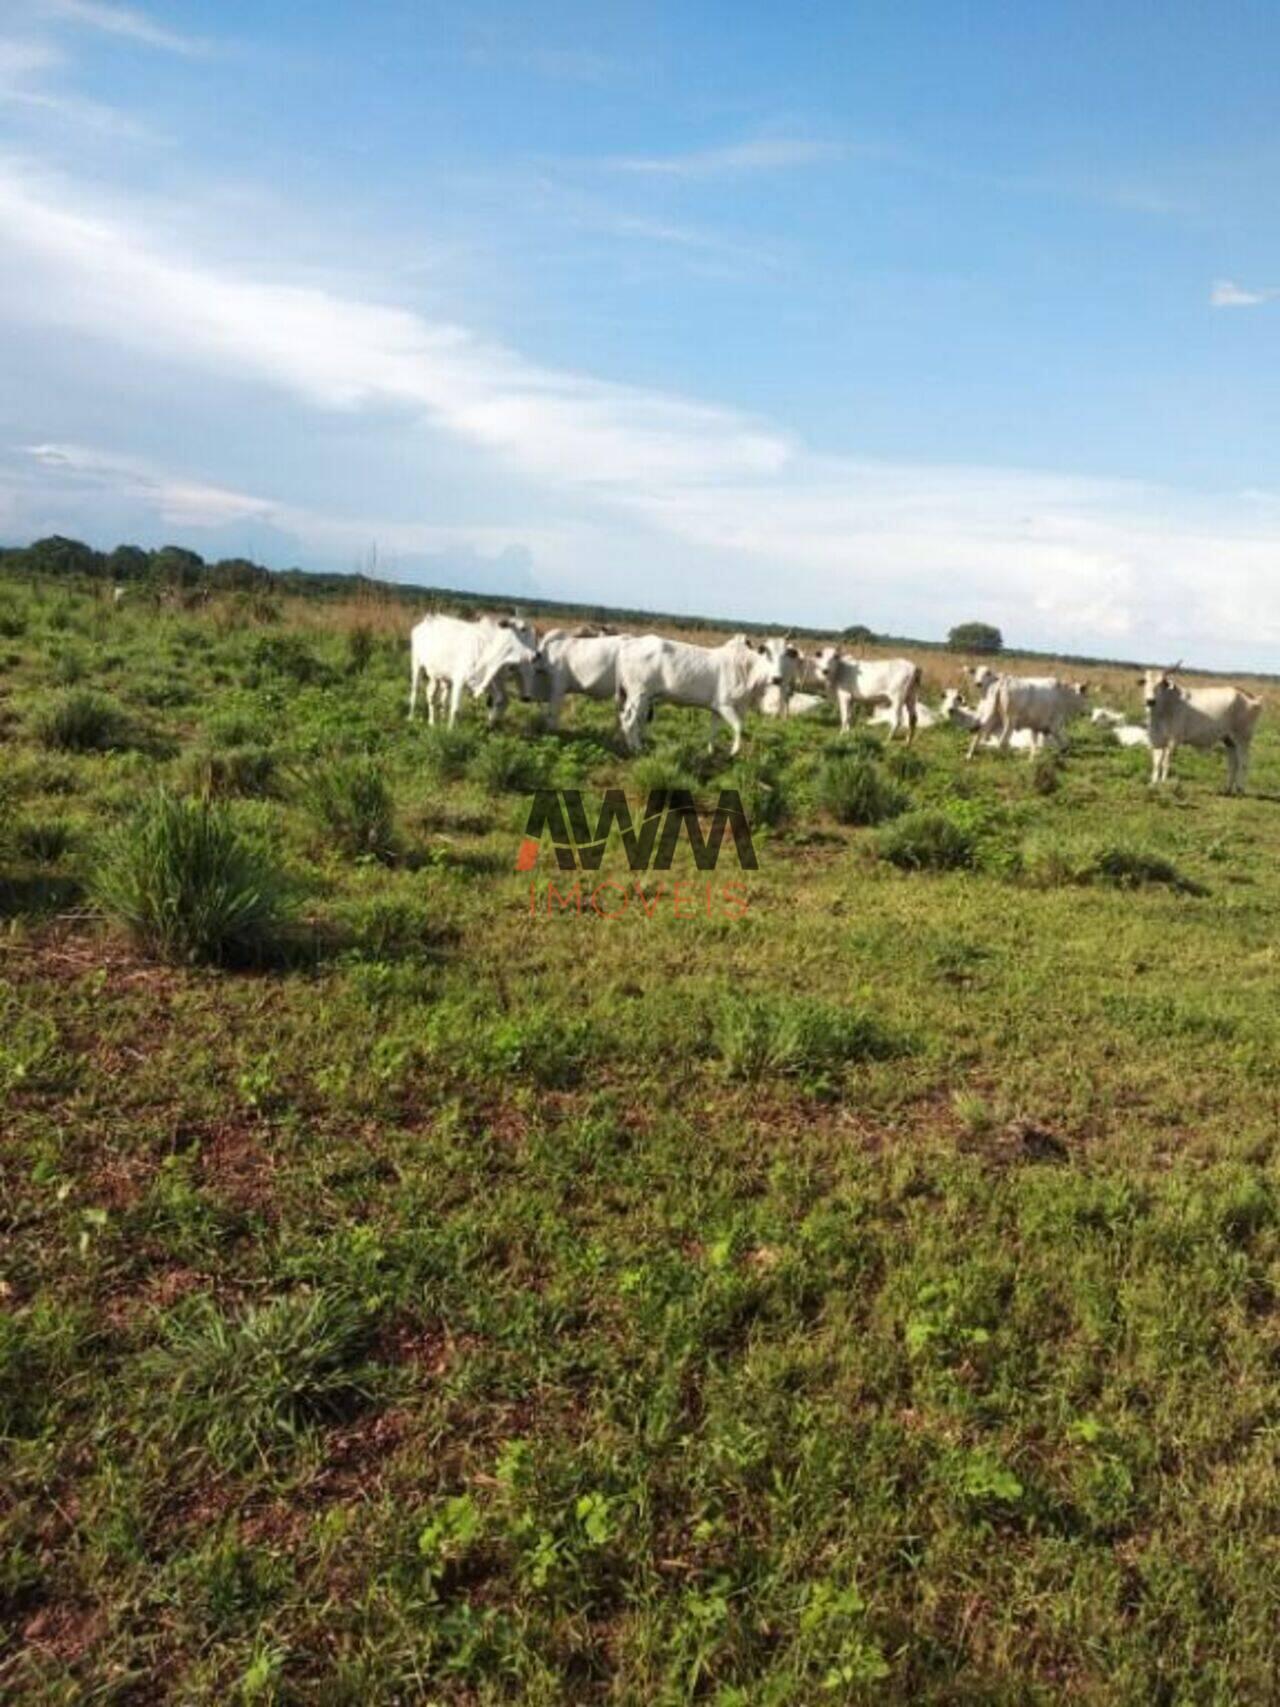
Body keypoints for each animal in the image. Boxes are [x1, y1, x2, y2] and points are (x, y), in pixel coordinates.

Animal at [406, 614, 535, 727]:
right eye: (523, 629)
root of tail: (427, 620)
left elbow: (500, 700)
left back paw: (435, 721)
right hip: (416, 664)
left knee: (436, 697)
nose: (536, 655)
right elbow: (455, 709)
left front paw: (490, 724)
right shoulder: (459, 680)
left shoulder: (489, 681)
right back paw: (411, 717)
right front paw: (450, 730)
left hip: (439, 677)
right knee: (415, 691)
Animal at [617, 635, 798, 754]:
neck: (747, 670)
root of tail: (630, 643)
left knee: (636, 721)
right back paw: (635, 749)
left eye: (785, 655)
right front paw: (734, 751)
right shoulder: (725, 705)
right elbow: (739, 726)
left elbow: (714, 730)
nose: (777, 678)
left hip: (645, 698)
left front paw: (710, 750)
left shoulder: (717, 709)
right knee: (628, 721)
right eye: (767, 654)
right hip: (638, 694)